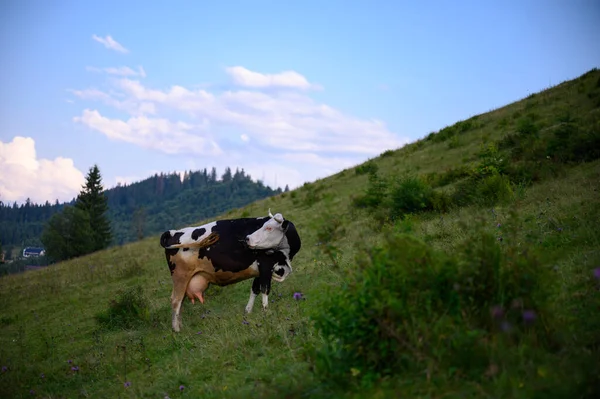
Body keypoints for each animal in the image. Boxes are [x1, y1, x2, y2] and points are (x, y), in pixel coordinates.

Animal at [161, 211, 302, 332]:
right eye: (265, 226)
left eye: (269, 228)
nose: (247, 238)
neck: (286, 256)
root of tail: (173, 232)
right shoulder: (266, 266)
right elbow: (265, 289)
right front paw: (266, 312)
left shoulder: (260, 271)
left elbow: (254, 289)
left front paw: (248, 312)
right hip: (180, 277)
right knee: (176, 301)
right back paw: (177, 330)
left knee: (180, 303)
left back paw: (181, 326)